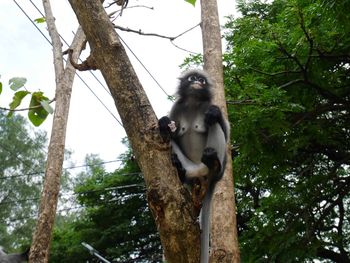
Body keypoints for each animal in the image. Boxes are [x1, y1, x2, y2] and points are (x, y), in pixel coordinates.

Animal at [159, 68, 230, 263]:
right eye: (192, 78)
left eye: (201, 80)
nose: (197, 81)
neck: (193, 101)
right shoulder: (176, 107)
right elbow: (172, 131)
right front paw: (163, 122)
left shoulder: (208, 105)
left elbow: (225, 131)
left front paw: (215, 113)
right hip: (190, 167)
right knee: (169, 137)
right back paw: (179, 169)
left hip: (218, 166)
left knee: (213, 124)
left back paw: (212, 161)